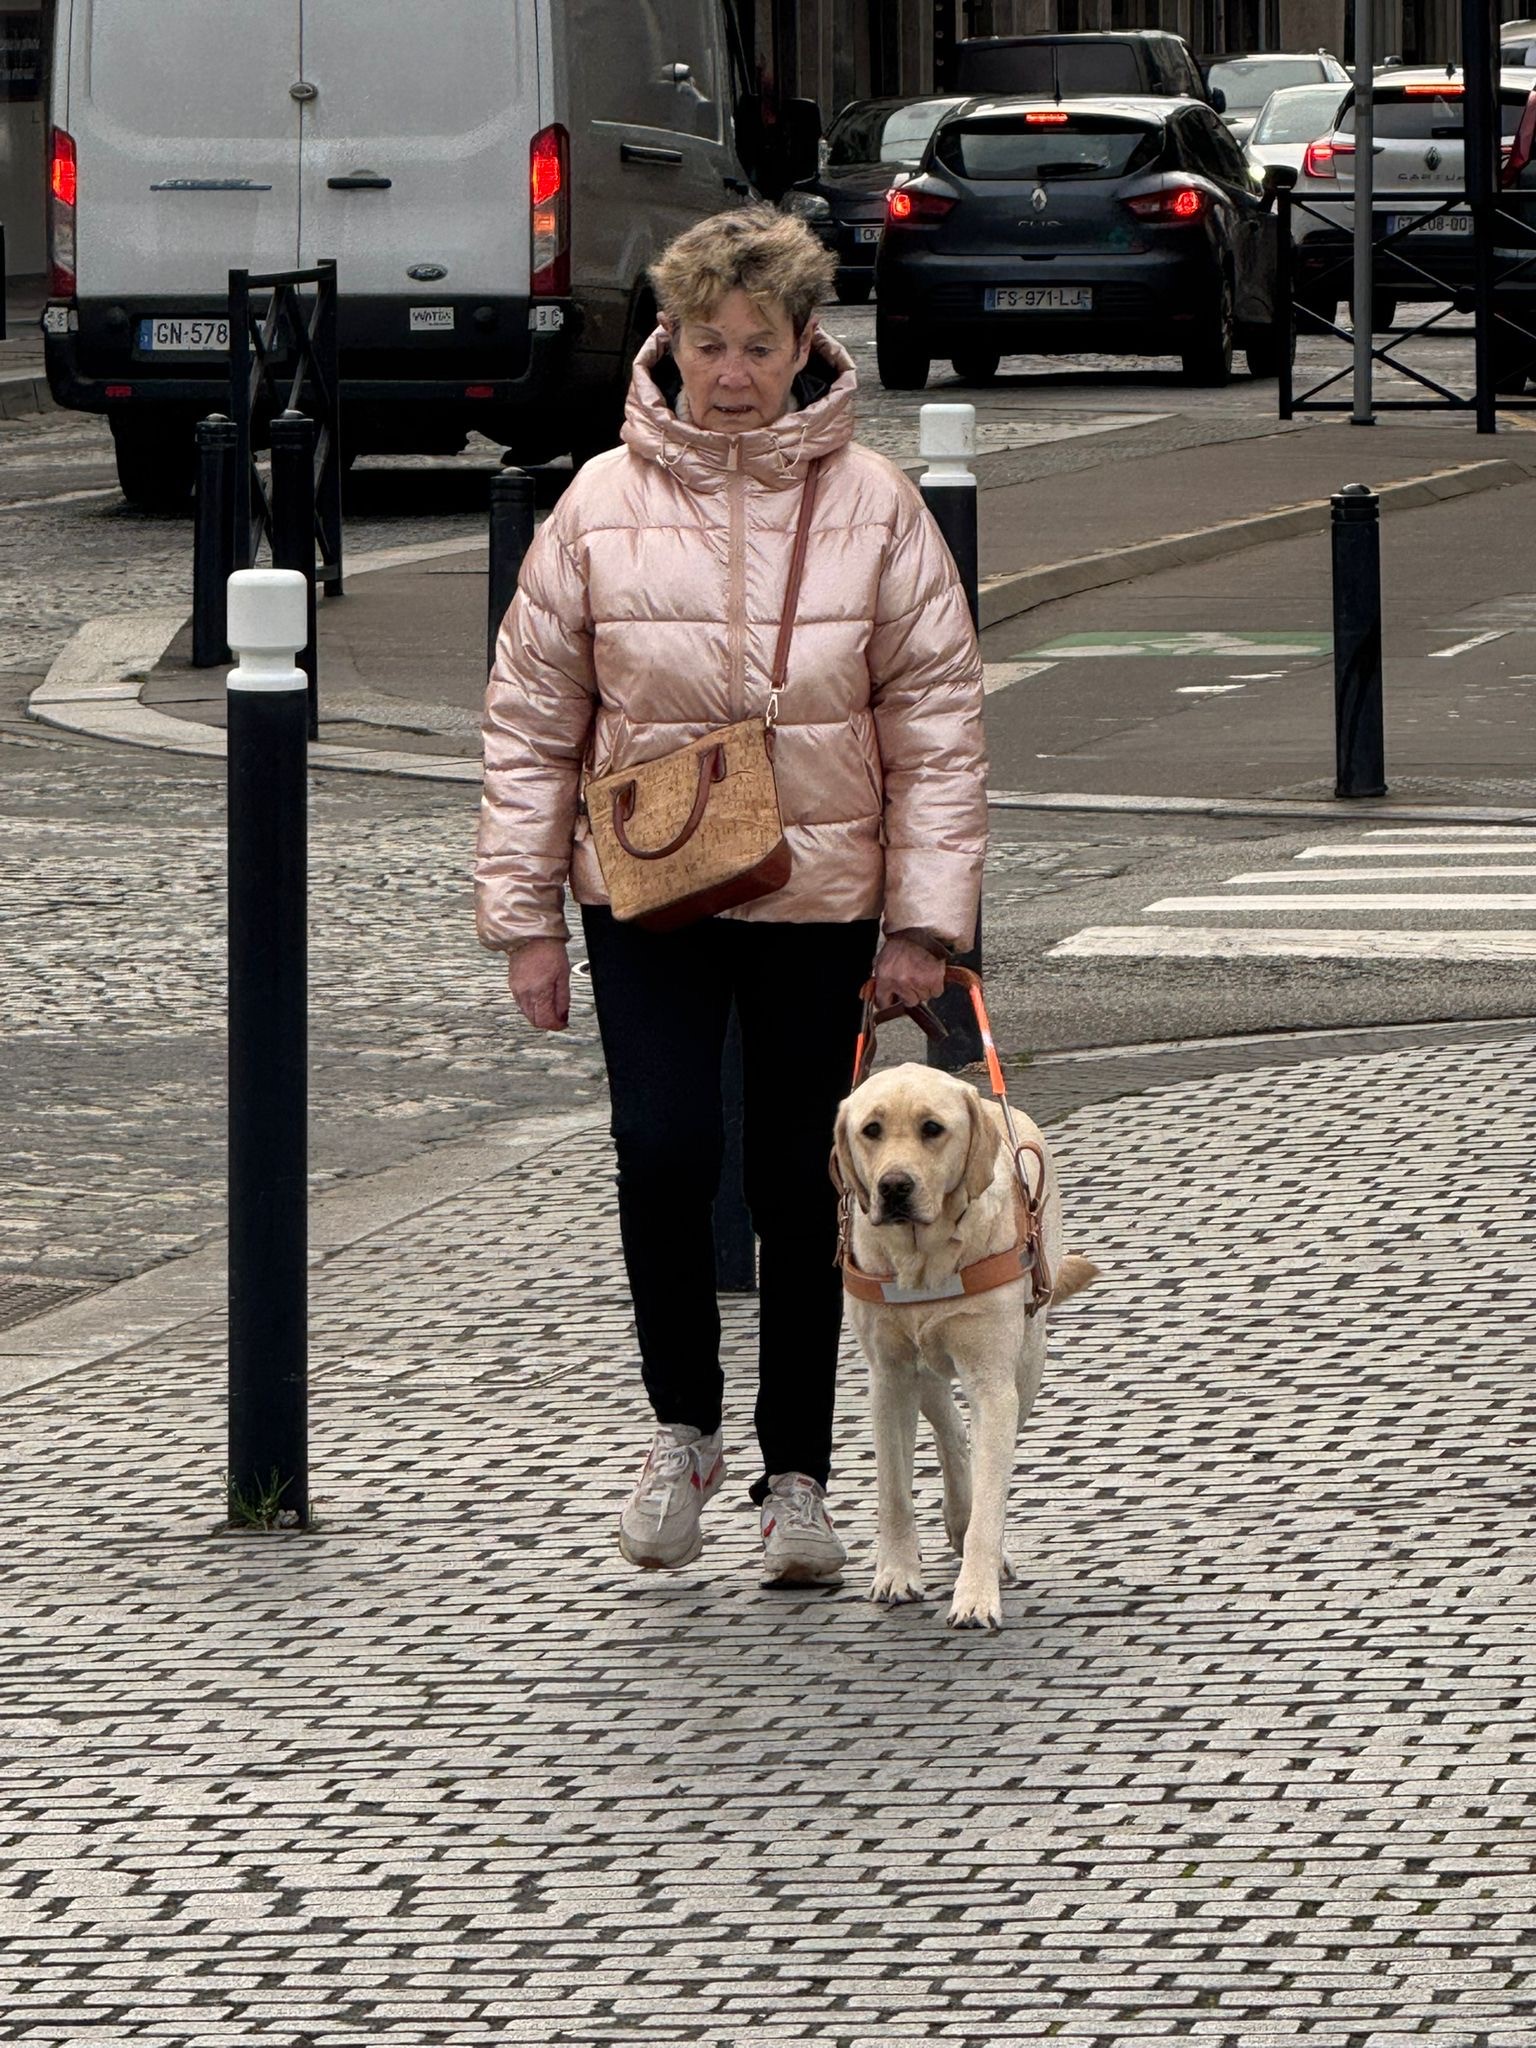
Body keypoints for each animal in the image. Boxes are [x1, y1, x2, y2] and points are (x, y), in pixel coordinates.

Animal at [835, 974, 1097, 1630]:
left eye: (933, 1128)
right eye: (871, 1130)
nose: (893, 1187)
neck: (925, 1262)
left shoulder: (993, 1380)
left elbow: (990, 1504)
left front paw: (977, 1594)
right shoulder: (887, 1376)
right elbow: (894, 1491)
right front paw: (896, 1572)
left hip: (1026, 1362)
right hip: (920, 1365)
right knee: (949, 1429)